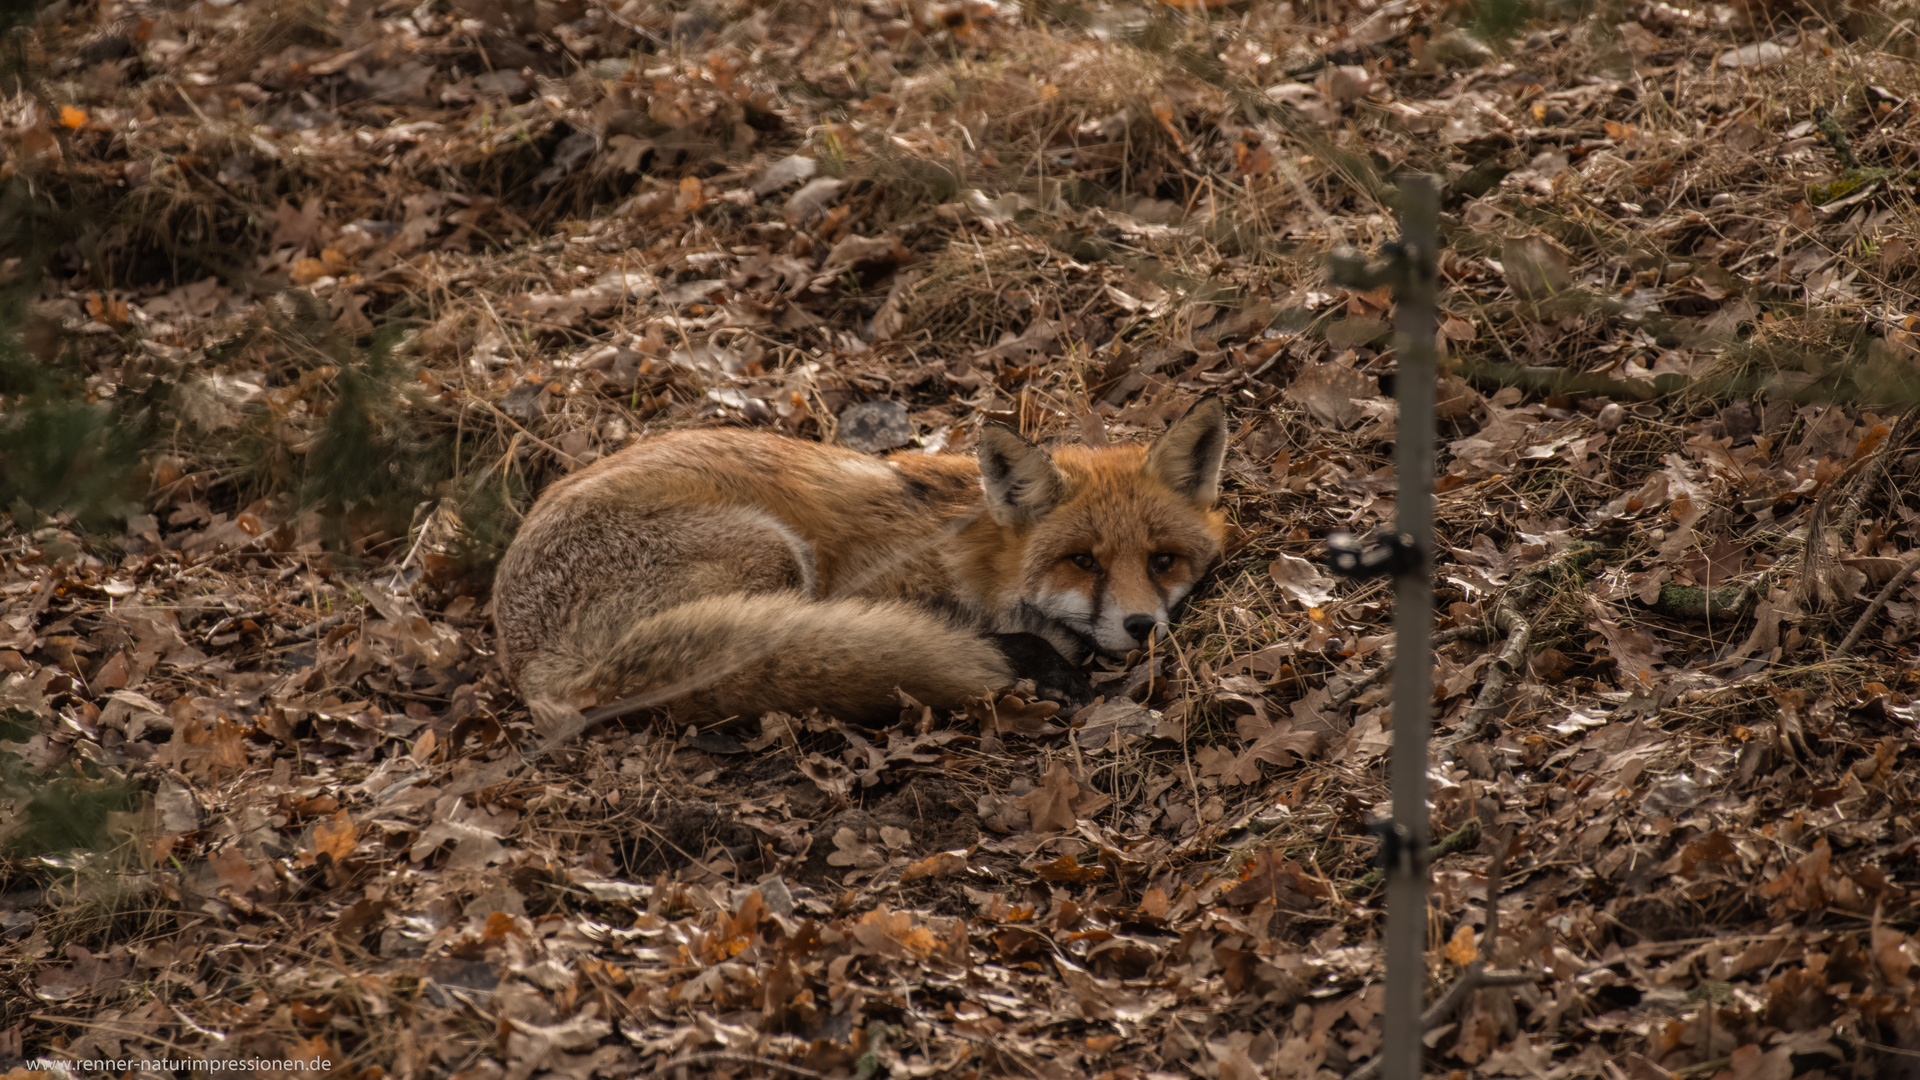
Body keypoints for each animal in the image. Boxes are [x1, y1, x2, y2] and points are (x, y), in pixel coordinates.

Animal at [487, 397, 1221, 722]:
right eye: (1083, 562)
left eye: (1162, 560)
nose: (1141, 627)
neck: (976, 558)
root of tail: (530, 661)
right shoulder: (876, 582)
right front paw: (1041, 664)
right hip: (772, 553)